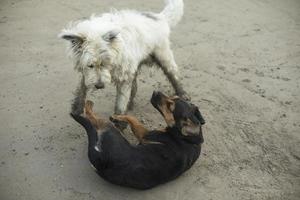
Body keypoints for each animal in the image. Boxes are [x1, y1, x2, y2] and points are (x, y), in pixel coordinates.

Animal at [60, 0, 189, 115]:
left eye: (105, 63)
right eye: (90, 65)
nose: (99, 86)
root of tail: (160, 17)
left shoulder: (124, 76)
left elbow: (120, 104)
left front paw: (119, 121)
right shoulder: (88, 73)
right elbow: (82, 89)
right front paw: (76, 109)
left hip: (163, 56)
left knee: (174, 76)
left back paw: (183, 95)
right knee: (134, 87)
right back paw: (131, 104)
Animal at [71, 91, 205, 190]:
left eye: (170, 106)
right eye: (174, 97)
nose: (156, 91)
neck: (188, 139)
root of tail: (101, 160)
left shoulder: (144, 134)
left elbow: (132, 118)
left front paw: (117, 116)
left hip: (110, 129)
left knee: (93, 118)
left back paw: (88, 104)